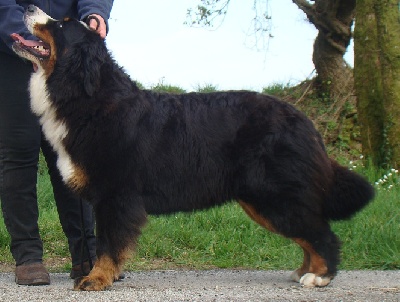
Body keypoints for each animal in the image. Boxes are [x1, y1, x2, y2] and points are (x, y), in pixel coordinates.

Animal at [11, 4, 376, 292]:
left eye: (61, 24)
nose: (26, 6)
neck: (87, 97)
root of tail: (303, 120)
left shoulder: (116, 196)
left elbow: (108, 244)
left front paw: (97, 279)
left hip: (274, 195)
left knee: (322, 234)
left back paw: (319, 277)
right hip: (264, 199)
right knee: (309, 234)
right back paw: (304, 271)